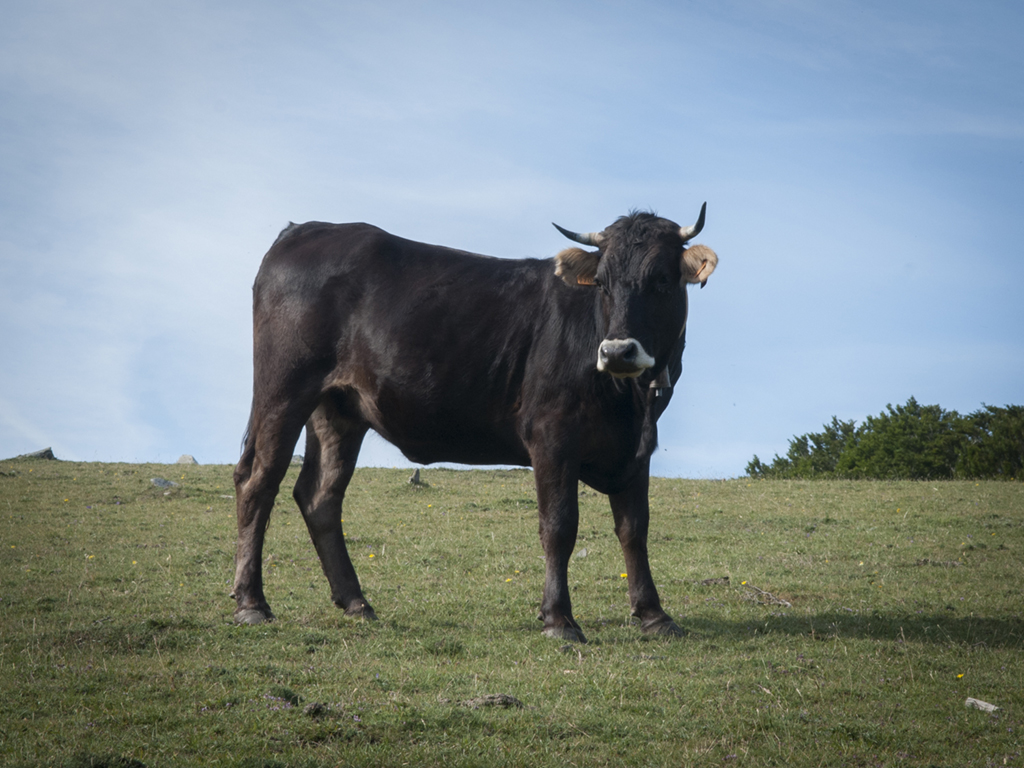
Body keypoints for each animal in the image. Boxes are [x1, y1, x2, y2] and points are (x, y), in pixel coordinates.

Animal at [230, 204, 720, 643]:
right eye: (602, 283)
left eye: (661, 280)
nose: (617, 351)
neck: (631, 401)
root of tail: (304, 229)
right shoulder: (552, 436)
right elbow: (559, 526)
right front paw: (559, 619)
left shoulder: (637, 450)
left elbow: (634, 529)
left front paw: (654, 615)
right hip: (283, 390)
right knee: (258, 482)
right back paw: (251, 603)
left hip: (338, 411)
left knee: (320, 496)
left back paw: (356, 602)